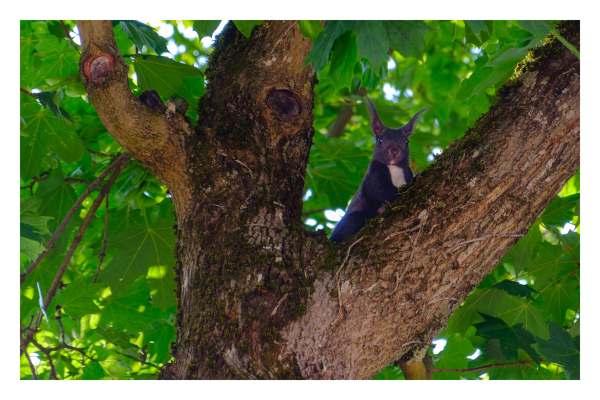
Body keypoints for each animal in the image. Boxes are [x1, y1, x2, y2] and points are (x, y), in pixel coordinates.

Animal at [328, 100, 426, 244]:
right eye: (380, 140)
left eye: (406, 141)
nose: (395, 151)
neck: (393, 167)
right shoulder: (374, 174)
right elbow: (380, 191)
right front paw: (412, 183)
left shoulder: (406, 171)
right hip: (355, 218)